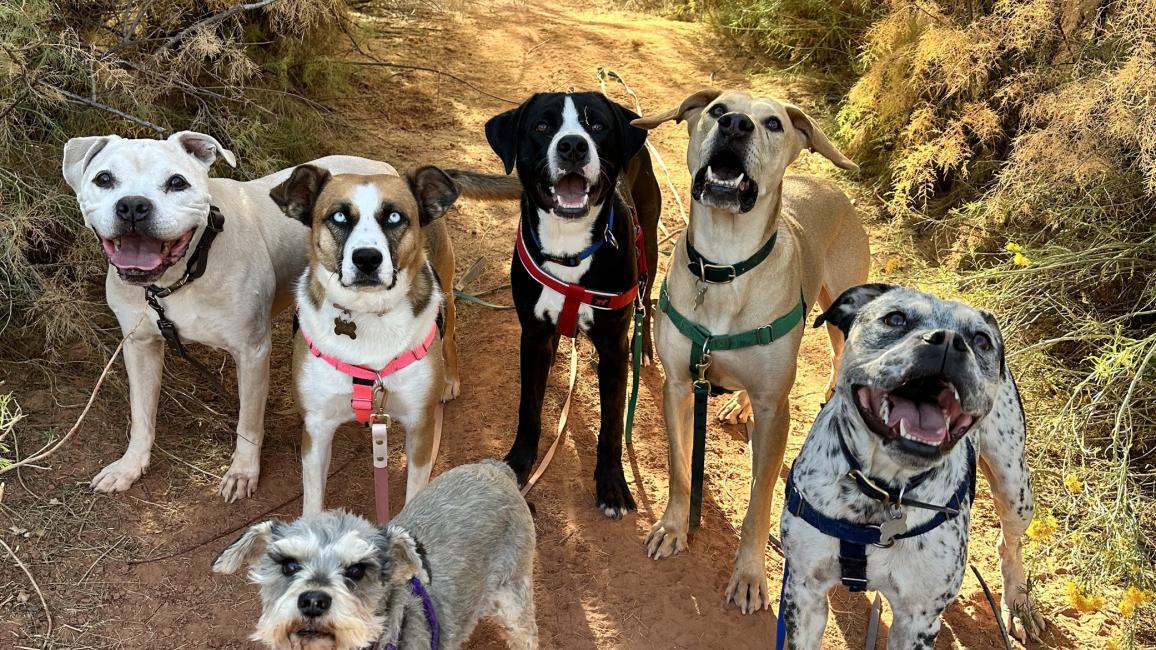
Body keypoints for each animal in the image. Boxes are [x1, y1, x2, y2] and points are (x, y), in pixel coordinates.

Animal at [270, 164, 469, 513]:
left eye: (394, 217)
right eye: (338, 217)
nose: (366, 258)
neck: (368, 314)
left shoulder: (420, 427)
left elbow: (415, 493)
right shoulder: (317, 428)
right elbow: (312, 499)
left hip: (446, 295)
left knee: (450, 339)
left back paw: (450, 380)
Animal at [480, 92, 661, 515]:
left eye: (597, 125)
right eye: (542, 126)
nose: (574, 146)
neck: (569, 246)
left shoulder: (613, 349)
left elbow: (611, 424)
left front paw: (612, 484)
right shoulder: (532, 336)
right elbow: (529, 409)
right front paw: (518, 464)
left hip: (650, 244)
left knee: (646, 301)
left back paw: (644, 349)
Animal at [638, 88, 869, 610]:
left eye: (773, 124)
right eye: (717, 110)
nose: (737, 125)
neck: (725, 266)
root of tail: (829, 188)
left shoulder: (775, 412)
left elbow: (759, 502)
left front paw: (748, 574)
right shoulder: (679, 386)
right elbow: (680, 469)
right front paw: (674, 527)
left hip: (842, 305)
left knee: (838, 354)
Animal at [781, 284, 1045, 647]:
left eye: (981, 340)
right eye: (895, 319)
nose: (949, 340)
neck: (884, 491)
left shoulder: (917, 620)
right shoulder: (805, 592)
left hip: (1015, 490)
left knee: (1009, 544)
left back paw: (1018, 603)